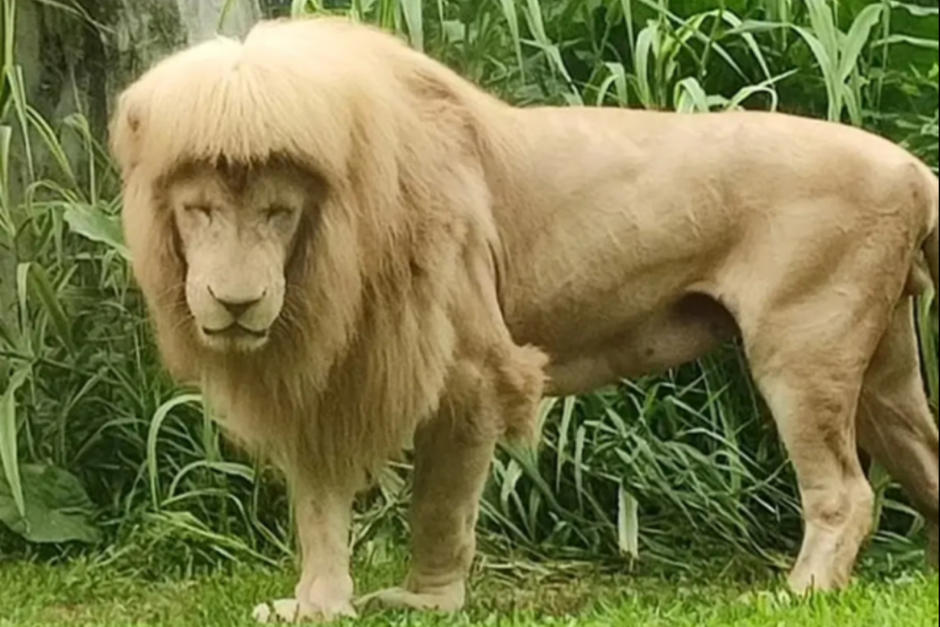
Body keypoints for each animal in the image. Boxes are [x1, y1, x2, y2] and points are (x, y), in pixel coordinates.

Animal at [110, 16, 939, 623]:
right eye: (199, 210)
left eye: (279, 212)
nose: (235, 301)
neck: (329, 255)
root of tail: (913, 168)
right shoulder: (326, 377)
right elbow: (318, 507)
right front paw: (316, 604)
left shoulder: (473, 369)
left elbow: (439, 503)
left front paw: (426, 601)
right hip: (885, 369)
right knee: (925, 455)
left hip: (802, 348)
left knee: (846, 491)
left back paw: (798, 591)